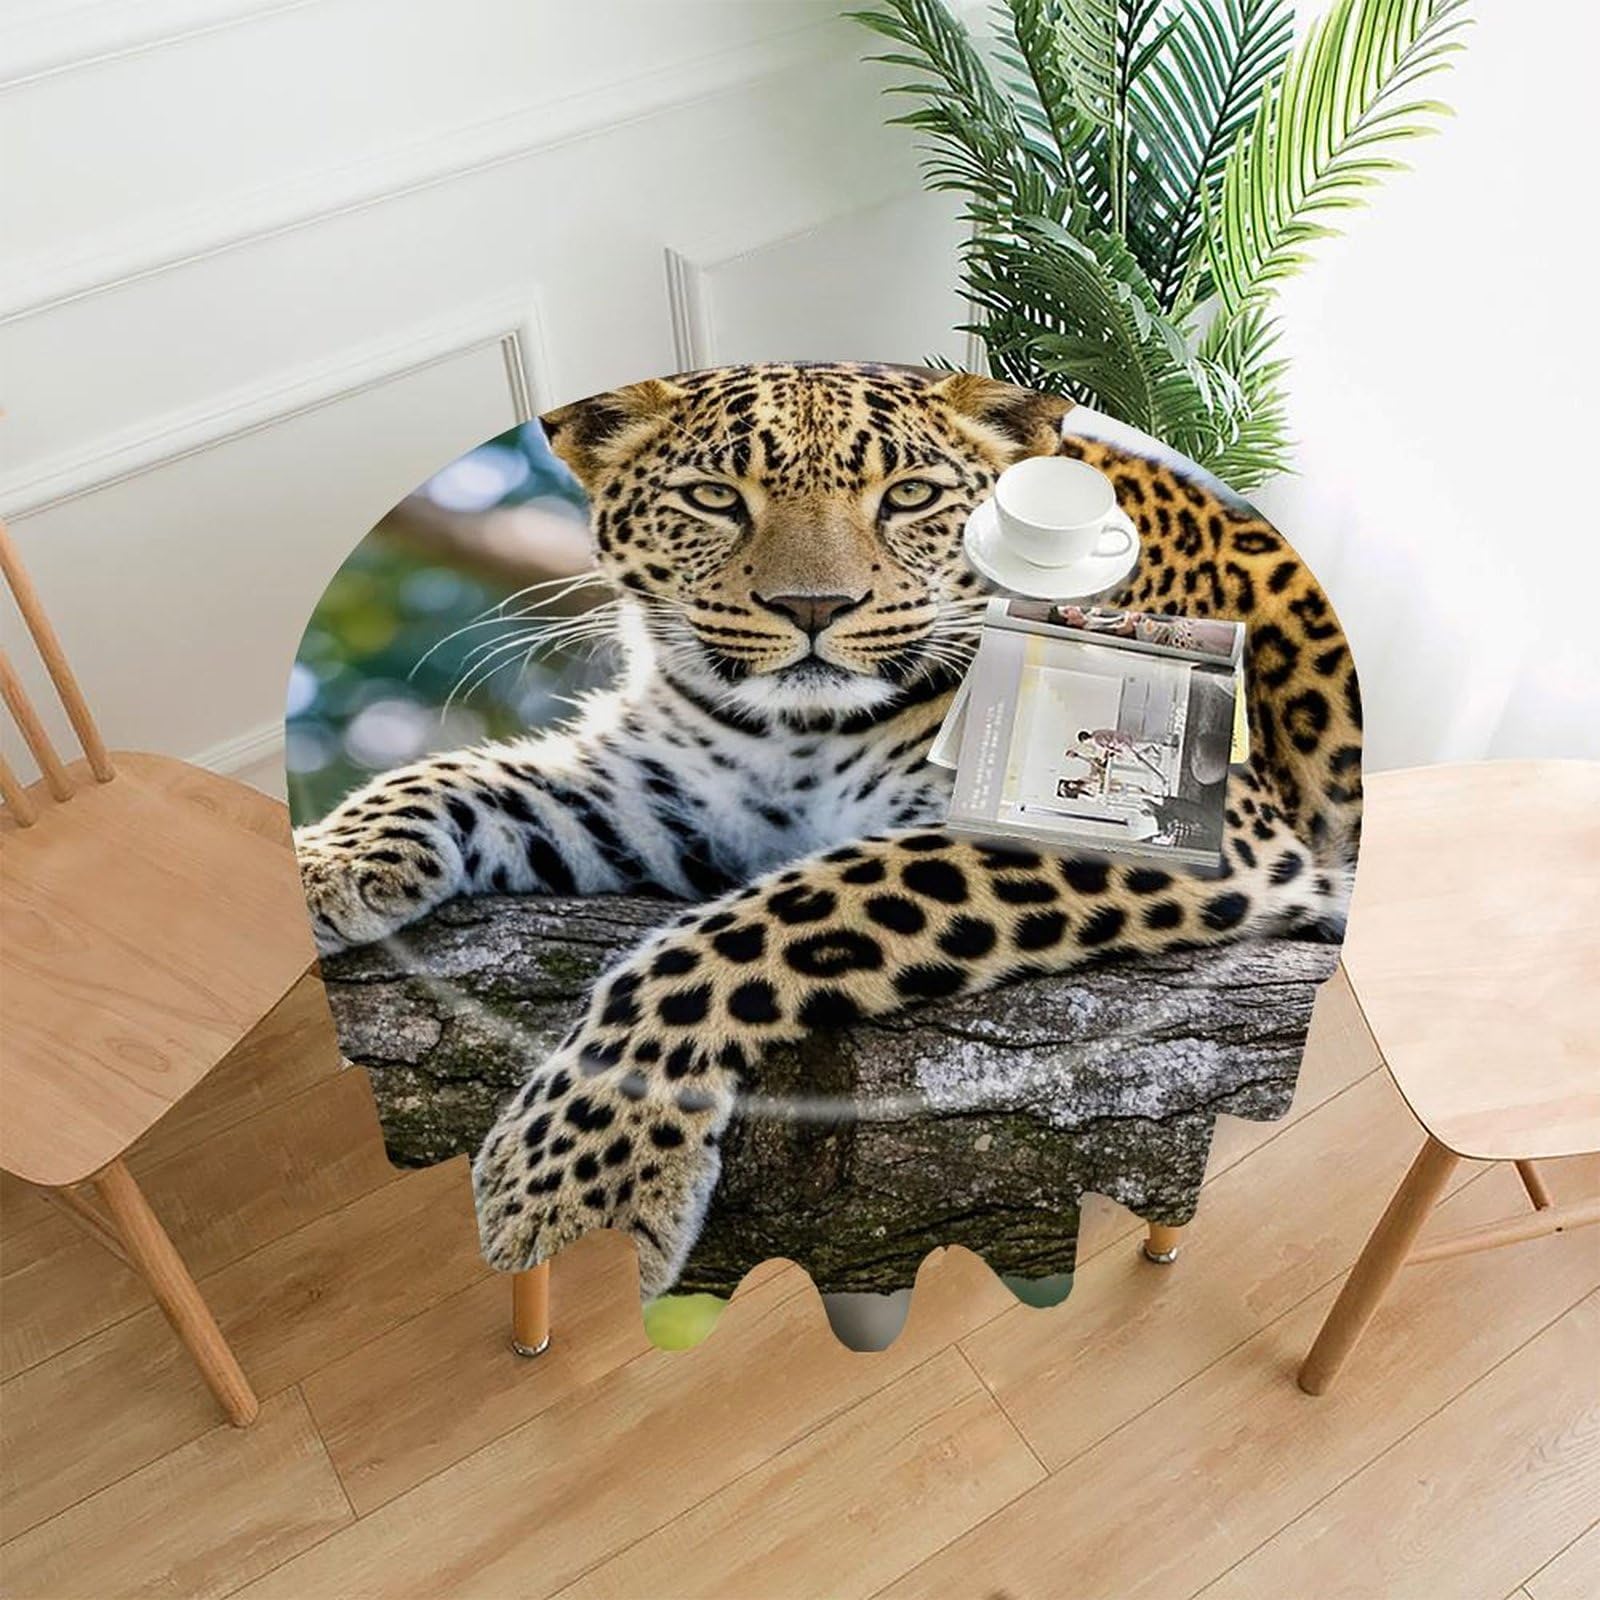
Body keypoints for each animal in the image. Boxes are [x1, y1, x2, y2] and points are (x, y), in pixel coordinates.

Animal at [294, 361, 1362, 1296]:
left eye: (911, 495)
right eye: (715, 497)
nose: (814, 608)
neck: (796, 731)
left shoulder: (1204, 837)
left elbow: (758, 924)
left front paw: (577, 1176)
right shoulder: (671, 800)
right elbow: (470, 776)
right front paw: (321, 860)